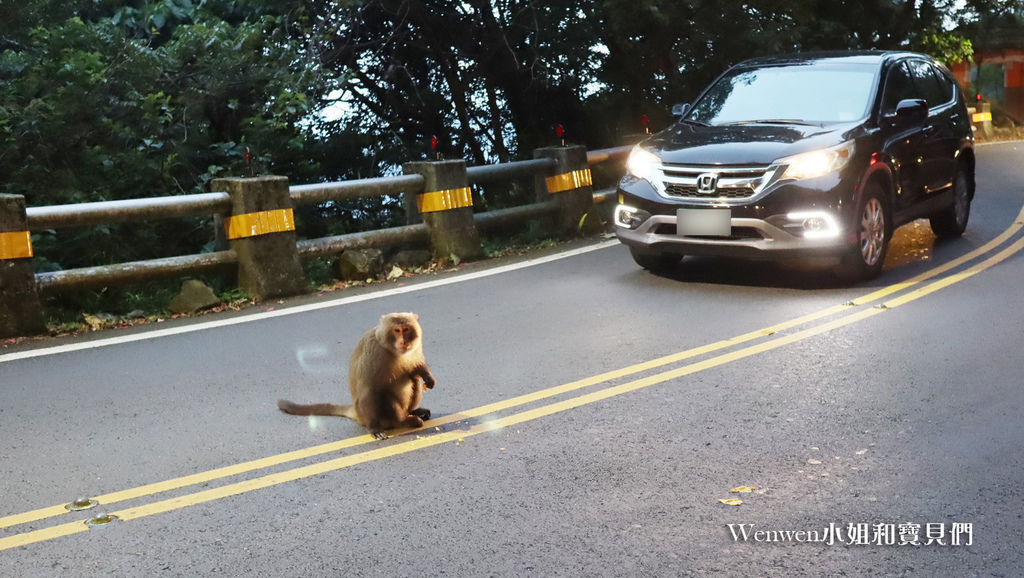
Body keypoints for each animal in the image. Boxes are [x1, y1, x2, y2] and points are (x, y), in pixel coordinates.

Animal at [278, 313, 438, 440]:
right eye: (397, 330)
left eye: (406, 329)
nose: (404, 341)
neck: (391, 349)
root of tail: (357, 413)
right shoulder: (374, 353)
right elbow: (368, 389)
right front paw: (374, 429)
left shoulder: (414, 348)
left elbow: (415, 368)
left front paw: (426, 375)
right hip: (372, 413)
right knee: (378, 394)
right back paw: (402, 421)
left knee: (414, 378)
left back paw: (413, 412)